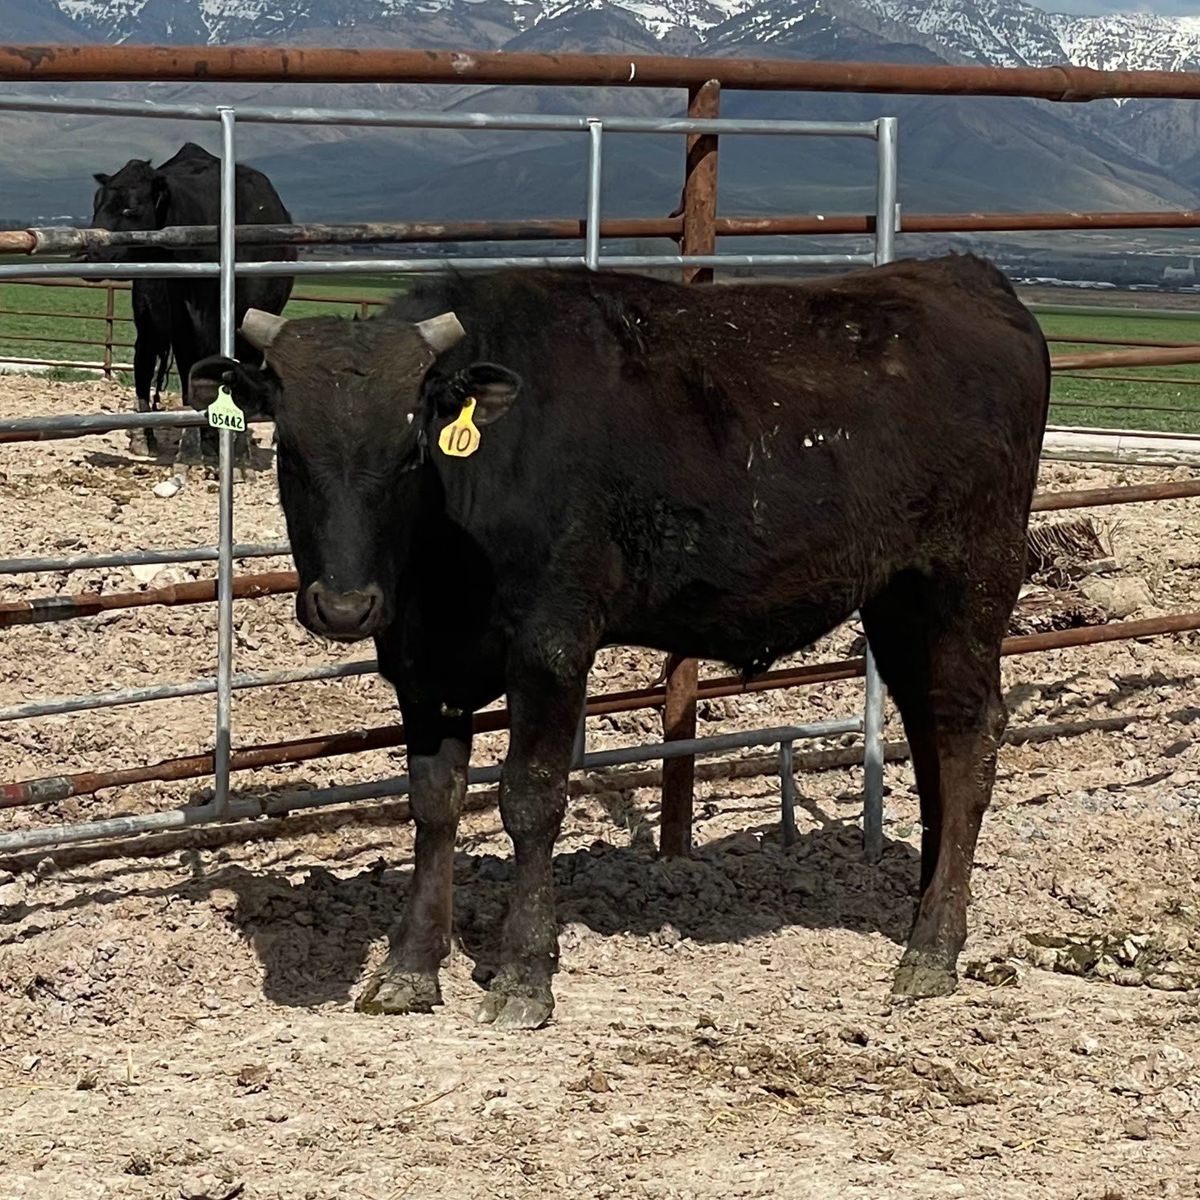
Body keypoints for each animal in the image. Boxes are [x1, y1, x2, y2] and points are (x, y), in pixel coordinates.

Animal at [89, 141, 295, 470]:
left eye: (130, 207)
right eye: (97, 204)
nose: (90, 249)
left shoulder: (252, 324)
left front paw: (240, 457)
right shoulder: (184, 325)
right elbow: (187, 382)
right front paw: (188, 453)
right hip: (149, 326)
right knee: (143, 369)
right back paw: (145, 438)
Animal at [186, 256, 1051, 1029]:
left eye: (409, 452)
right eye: (291, 452)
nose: (343, 606)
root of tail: (962, 274)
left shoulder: (552, 642)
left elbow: (530, 799)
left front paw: (523, 974)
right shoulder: (421, 663)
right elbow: (433, 802)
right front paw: (407, 967)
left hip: (969, 582)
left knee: (969, 738)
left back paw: (931, 950)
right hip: (900, 605)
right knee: (932, 739)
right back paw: (929, 911)